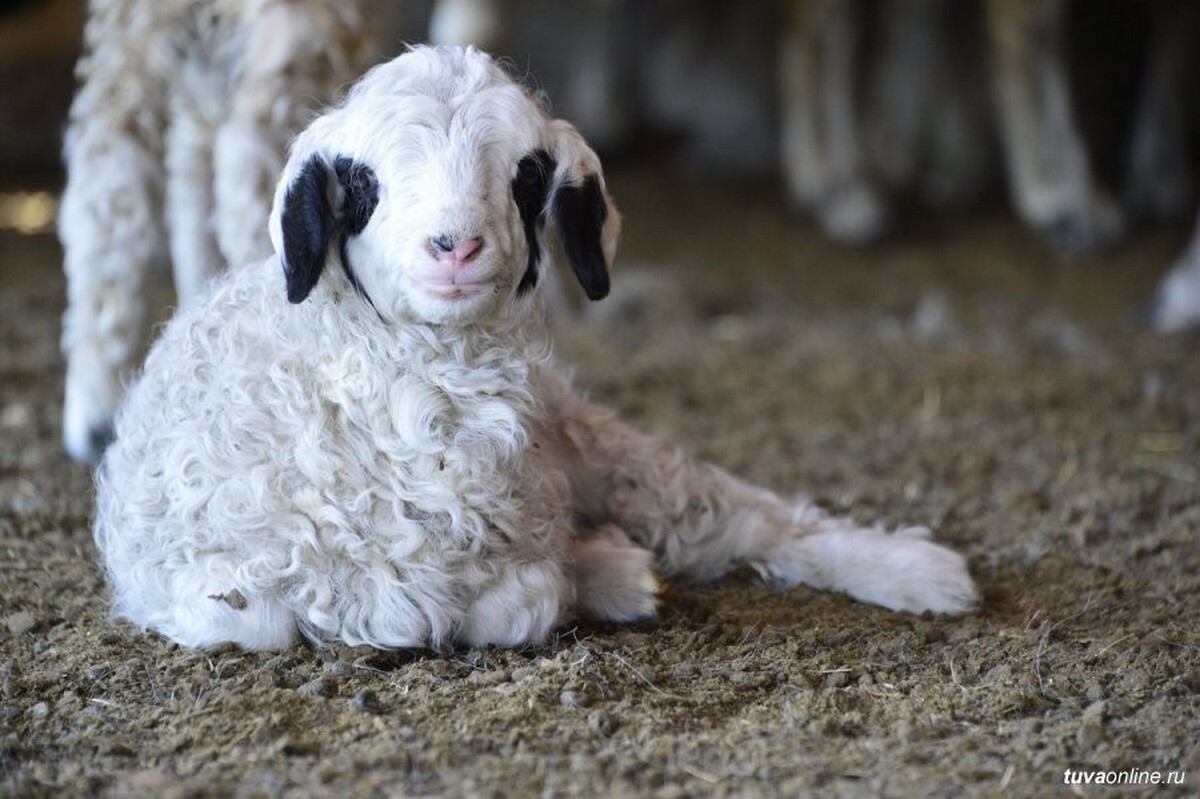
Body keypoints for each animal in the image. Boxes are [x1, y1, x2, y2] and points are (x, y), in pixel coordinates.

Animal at [91, 46, 974, 652]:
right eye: (363, 182)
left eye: (525, 173)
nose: (455, 245)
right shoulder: (237, 594)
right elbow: (515, 598)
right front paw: (599, 570)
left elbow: (536, 590)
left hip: (586, 433)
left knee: (728, 513)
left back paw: (922, 574)